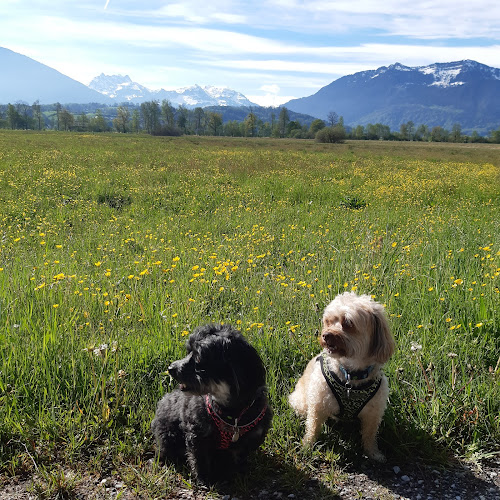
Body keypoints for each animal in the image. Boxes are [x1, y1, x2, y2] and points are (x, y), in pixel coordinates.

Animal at [150, 324, 272, 484]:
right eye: (188, 352)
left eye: (198, 359)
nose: (171, 368)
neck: (231, 413)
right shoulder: (197, 434)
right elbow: (199, 460)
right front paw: (204, 480)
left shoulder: (252, 437)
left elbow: (239, 457)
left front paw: (238, 473)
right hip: (168, 434)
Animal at [290, 292, 394, 460]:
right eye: (328, 321)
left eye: (348, 323)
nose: (325, 335)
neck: (351, 375)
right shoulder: (318, 405)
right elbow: (312, 428)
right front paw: (307, 446)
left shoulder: (373, 414)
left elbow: (370, 435)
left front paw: (373, 453)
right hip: (301, 402)